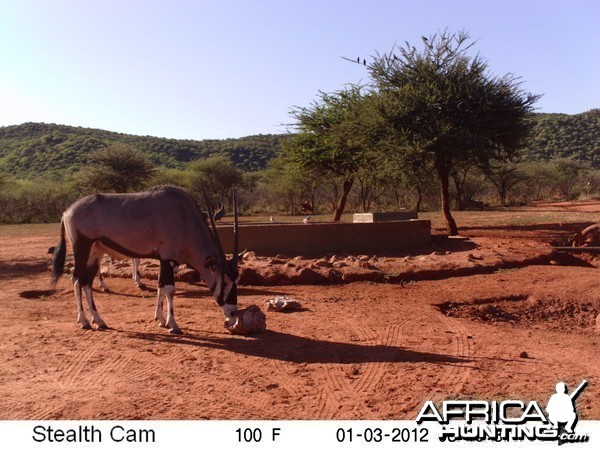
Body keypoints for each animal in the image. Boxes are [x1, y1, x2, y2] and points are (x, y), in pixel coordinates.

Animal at [51, 184, 239, 334]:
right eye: (225, 281)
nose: (233, 313)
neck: (184, 217)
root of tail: (67, 212)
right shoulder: (168, 259)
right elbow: (170, 289)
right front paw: (173, 325)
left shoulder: (164, 260)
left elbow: (160, 286)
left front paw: (161, 320)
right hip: (82, 249)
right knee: (76, 280)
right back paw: (84, 321)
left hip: (95, 254)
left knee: (86, 283)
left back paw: (99, 321)